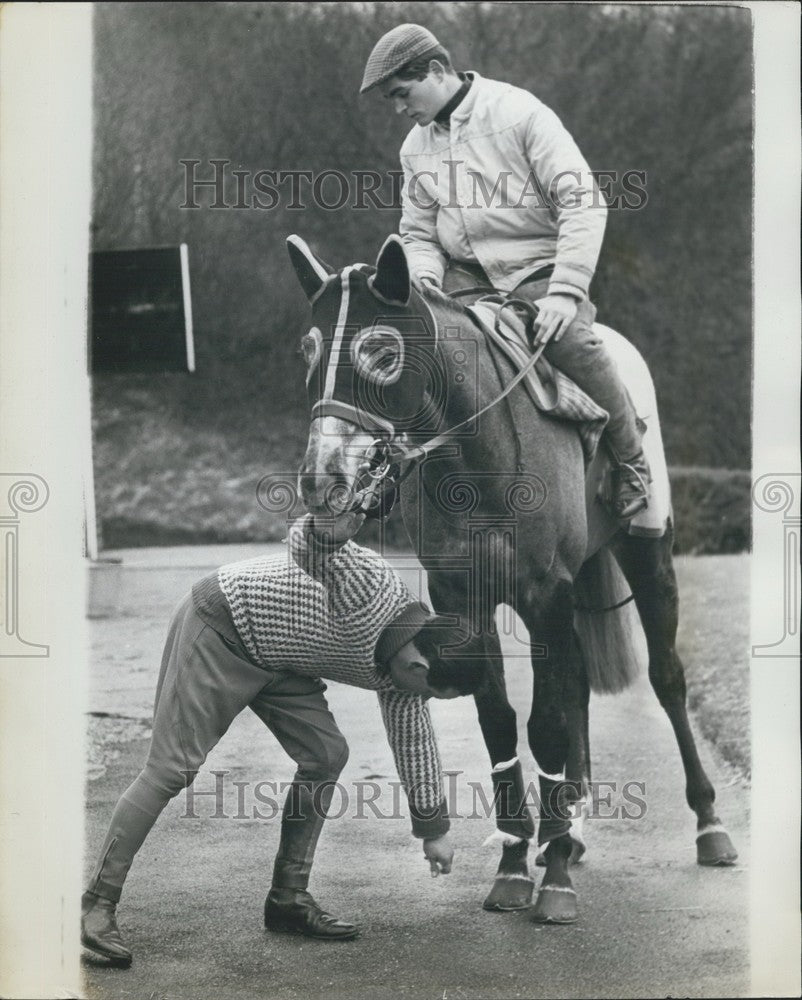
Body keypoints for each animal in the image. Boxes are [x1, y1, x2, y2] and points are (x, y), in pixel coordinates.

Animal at [284, 232, 736, 920]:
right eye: (309, 350)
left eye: (382, 352)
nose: (322, 478)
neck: (479, 455)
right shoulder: (465, 600)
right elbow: (499, 718)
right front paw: (518, 862)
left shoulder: (546, 595)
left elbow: (543, 723)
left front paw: (553, 883)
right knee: (577, 685)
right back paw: (569, 828)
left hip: (648, 559)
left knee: (667, 680)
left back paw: (708, 827)